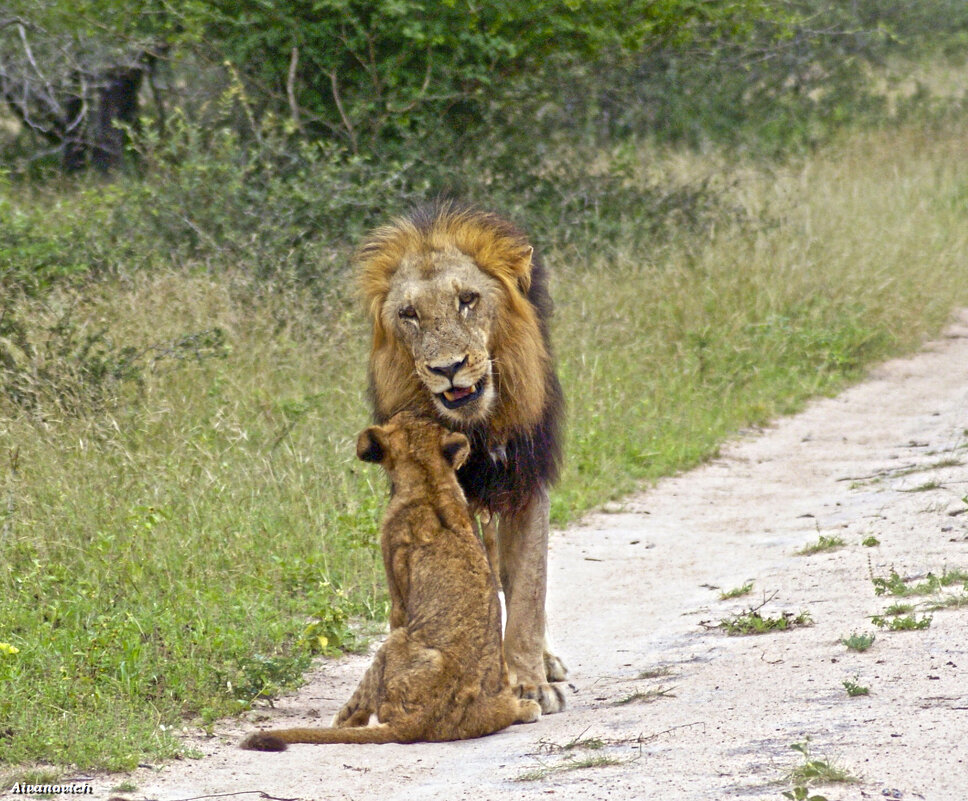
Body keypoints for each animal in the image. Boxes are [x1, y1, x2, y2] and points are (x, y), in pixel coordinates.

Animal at [358, 200, 568, 712]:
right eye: (409, 314)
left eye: (468, 300)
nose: (448, 368)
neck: (479, 426)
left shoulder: (526, 482)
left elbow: (529, 589)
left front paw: (531, 682)